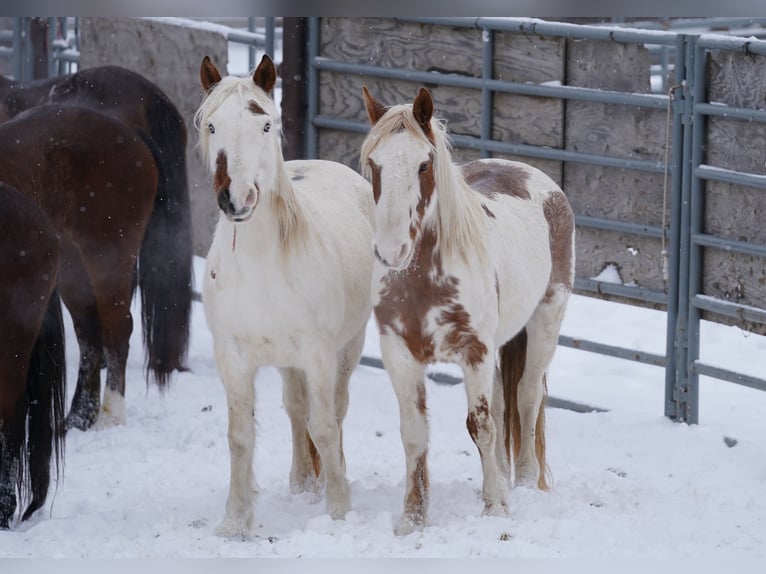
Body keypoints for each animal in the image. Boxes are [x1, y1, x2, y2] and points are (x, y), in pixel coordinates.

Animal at [0, 66, 194, 414]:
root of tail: (131, 135)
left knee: (117, 328)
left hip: (109, 254)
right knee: (90, 332)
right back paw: (80, 416)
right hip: (73, 262)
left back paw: (109, 414)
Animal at [196, 55, 376, 540]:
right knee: (296, 410)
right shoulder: (233, 357)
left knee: (335, 411)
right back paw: (302, 483)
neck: (262, 267)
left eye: (265, 124)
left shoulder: (318, 353)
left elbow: (325, 426)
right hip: (285, 359)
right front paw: (234, 521)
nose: (236, 198)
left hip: (347, 348)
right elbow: (241, 436)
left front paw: (338, 510)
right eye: (212, 125)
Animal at [360, 85, 576, 536]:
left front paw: (495, 510)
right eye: (374, 163)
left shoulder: (474, 351)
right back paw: (504, 483)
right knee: (502, 403)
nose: (391, 250)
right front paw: (413, 518)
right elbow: (414, 432)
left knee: (527, 398)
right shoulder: (399, 354)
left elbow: (482, 426)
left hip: (546, 321)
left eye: (424, 164)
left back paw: (524, 483)